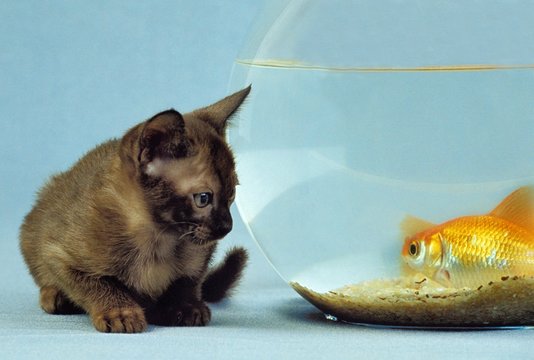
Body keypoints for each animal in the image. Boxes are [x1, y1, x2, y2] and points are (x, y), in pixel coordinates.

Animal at [19, 86, 252, 334]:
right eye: (203, 199)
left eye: (232, 194)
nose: (227, 226)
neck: (157, 239)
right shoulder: (56, 252)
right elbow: (96, 283)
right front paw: (120, 311)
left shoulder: (201, 253)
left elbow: (188, 280)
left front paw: (185, 306)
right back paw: (55, 296)